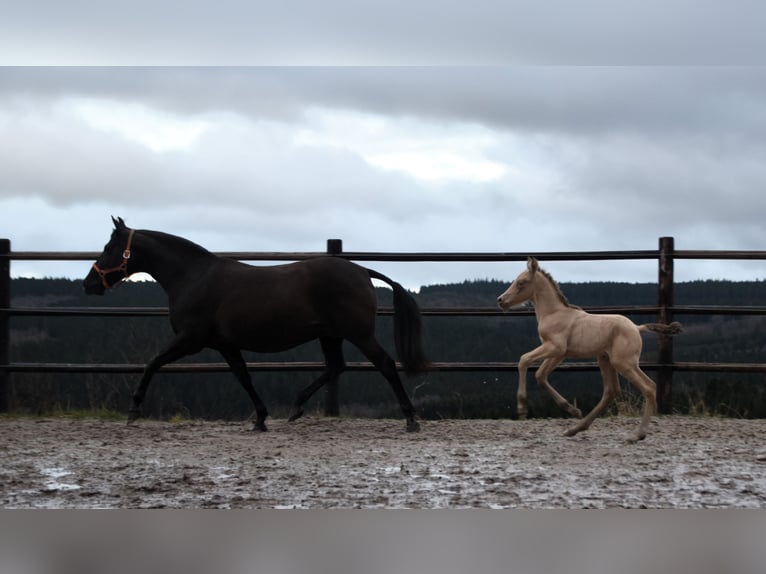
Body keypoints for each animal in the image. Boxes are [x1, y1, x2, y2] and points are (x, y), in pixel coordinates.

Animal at [85, 219, 432, 432]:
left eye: (108, 248)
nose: (90, 284)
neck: (194, 277)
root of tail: (361, 271)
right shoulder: (225, 345)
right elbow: (243, 377)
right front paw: (261, 419)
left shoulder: (190, 339)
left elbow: (152, 363)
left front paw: (133, 412)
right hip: (330, 335)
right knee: (336, 366)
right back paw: (296, 407)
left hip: (358, 333)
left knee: (385, 364)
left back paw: (411, 418)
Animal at [498, 258, 684, 444]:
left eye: (521, 282)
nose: (501, 300)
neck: (554, 313)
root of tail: (637, 328)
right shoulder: (559, 353)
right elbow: (540, 376)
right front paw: (572, 410)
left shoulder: (555, 347)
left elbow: (524, 359)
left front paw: (522, 408)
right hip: (606, 359)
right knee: (611, 391)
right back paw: (575, 429)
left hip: (623, 363)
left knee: (648, 387)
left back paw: (637, 435)